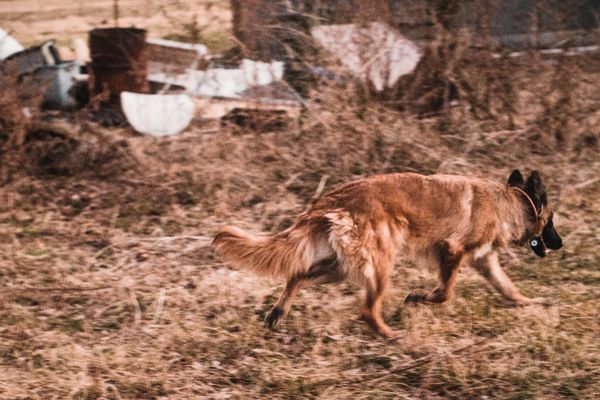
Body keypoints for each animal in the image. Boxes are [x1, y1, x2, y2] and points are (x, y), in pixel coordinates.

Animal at [214, 170, 564, 338]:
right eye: (552, 221)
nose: (560, 244)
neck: (509, 202)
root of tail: (328, 199)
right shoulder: (453, 252)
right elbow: (446, 292)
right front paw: (420, 298)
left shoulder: (484, 261)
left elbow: (509, 288)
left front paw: (531, 303)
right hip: (380, 266)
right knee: (367, 310)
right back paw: (389, 334)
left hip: (338, 268)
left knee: (297, 275)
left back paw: (277, 313)